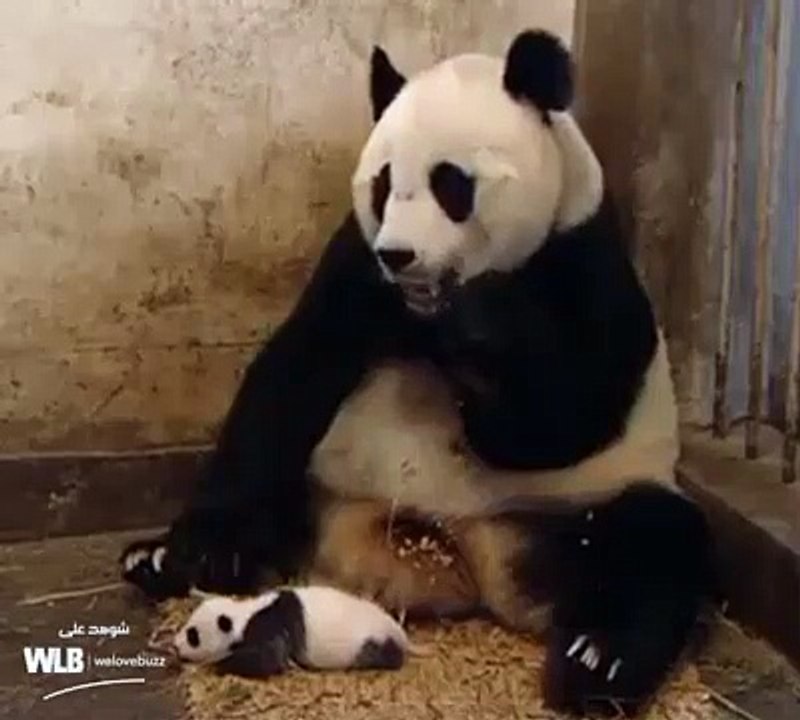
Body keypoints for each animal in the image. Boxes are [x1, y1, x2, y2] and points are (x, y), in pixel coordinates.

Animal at [120, 30, 712, 716]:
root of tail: (456, 559)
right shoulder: (356, 262)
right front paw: (201, 549)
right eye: (383, 184)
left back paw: (597, 661)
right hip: (327, 486)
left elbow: (561, 418)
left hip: (573, 509)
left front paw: (482, 324)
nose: (400, 255)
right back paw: (163, 561)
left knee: (654, 543)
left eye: (450, 183)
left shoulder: (582, 259)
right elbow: (295, 372)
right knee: (278, 494)